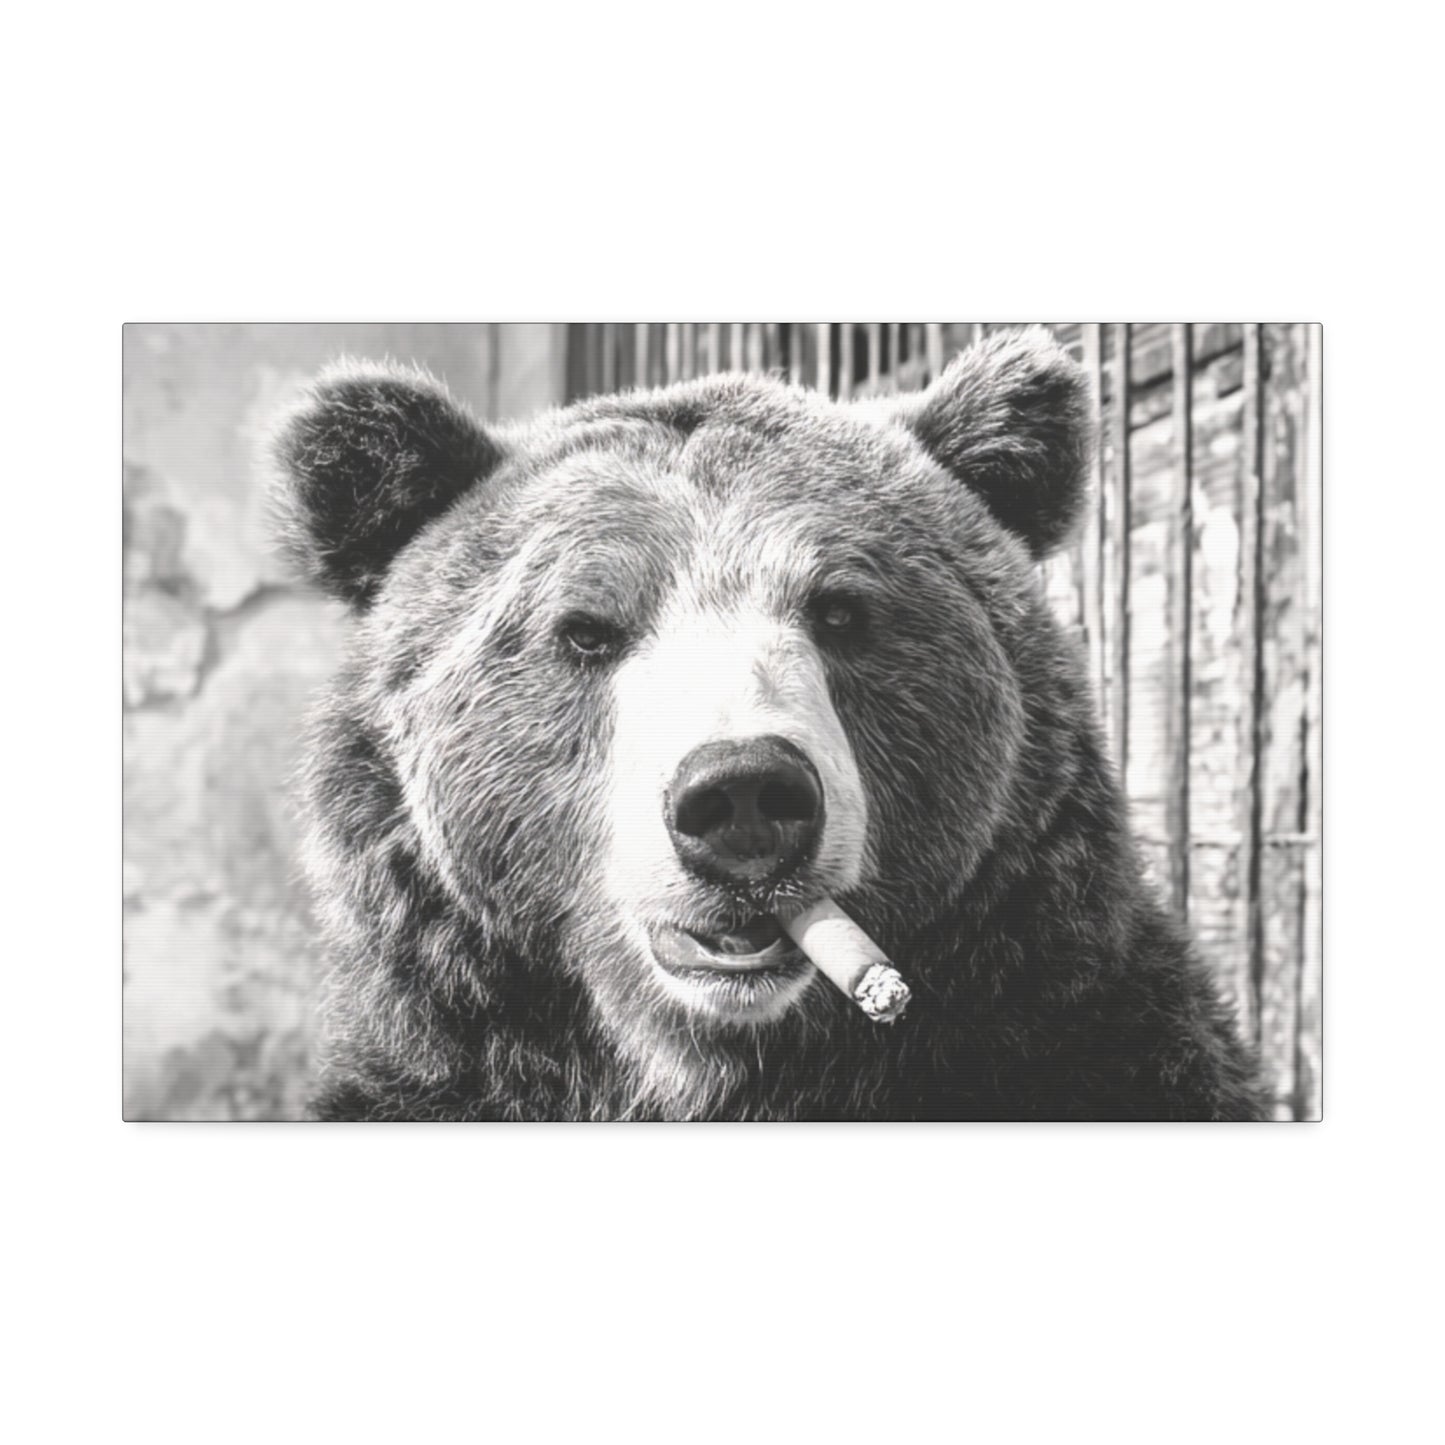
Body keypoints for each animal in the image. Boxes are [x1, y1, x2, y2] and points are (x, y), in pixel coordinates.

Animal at [270, 327, 1265, 1121]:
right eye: (586, 628)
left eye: (838, 608)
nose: (742, 793)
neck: (725, 1070)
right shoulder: (441, 1075)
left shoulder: (1090, 1045)